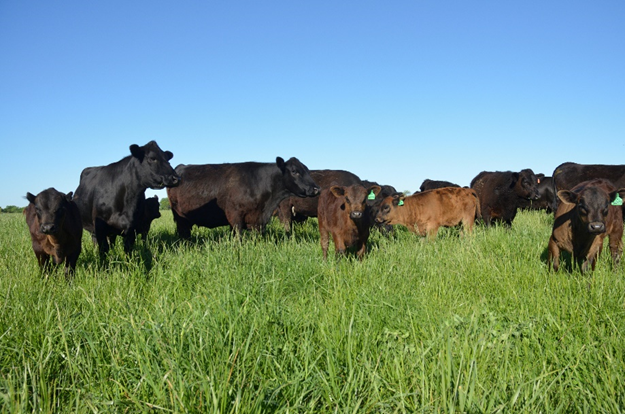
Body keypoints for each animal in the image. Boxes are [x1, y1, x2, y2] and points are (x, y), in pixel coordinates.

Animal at [166, 157, 320, 238]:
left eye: (307, 170)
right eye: (294, 171)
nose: (316, 189)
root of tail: (180, 168)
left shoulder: (257, 221)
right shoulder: (234, 216)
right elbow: (238, 237)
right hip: (180, 217)